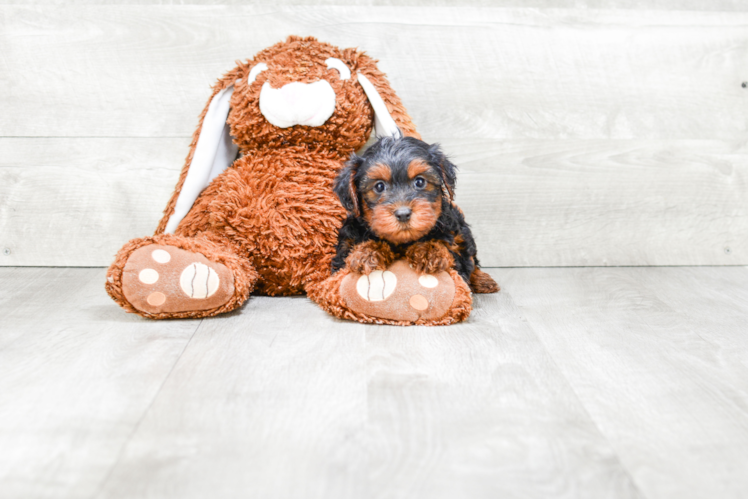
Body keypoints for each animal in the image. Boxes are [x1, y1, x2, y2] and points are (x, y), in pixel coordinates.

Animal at [332, 135, 496, 294]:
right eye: (379, 186)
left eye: (420, 182)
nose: (403, 214)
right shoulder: (345, 248)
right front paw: (367, 252)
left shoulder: (456, 246)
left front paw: (429, 251)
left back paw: (483, 280)